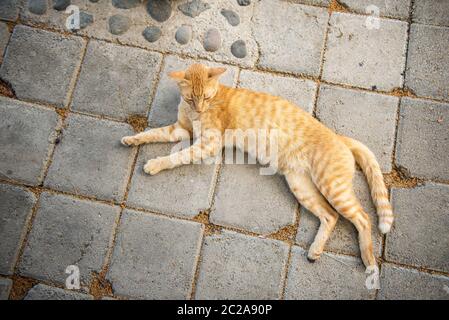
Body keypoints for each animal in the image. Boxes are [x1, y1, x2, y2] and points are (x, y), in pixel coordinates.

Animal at [120, 62, 392, 270]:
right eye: (190, 97)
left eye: (206, 97)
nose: (199, 109)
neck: (195, 111)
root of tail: (339, 137)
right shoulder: (180, 130)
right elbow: (152, 133)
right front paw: (132, 139)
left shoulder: (208, 144)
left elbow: (177, 156)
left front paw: (155, 164)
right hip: (300, 185)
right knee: (330, 215)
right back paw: (315, 250)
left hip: (332, 187)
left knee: (363, 217)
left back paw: (369, 261)